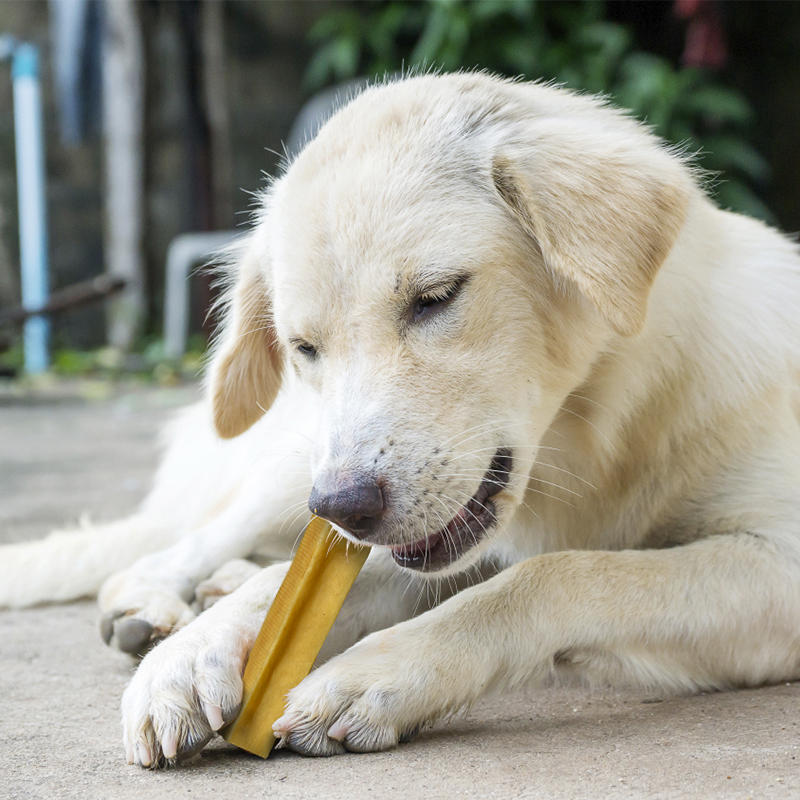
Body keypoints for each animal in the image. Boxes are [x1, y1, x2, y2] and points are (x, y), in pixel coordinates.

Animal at [1, 75, 800, 768]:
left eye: (436, 297)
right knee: (177, 544)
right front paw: (193, 657)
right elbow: (299, 584)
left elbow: (556, 575)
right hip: (294, 469)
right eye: (304, 348)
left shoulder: (777, 566)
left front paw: (376, 675)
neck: (612, 434)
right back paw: (164, 609)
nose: (345, 507)